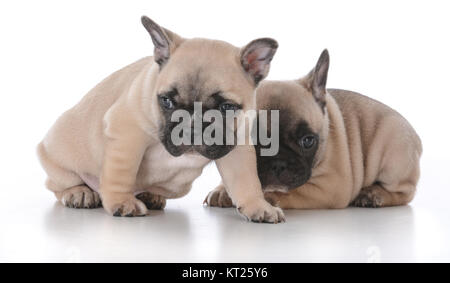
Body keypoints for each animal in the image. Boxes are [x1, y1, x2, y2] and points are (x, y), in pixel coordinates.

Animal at [38, 16, 284, 224]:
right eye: (166, 101)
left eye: (226, 107)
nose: (192, 126)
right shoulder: (127, 135)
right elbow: (121, 173)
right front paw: (121, 201)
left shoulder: (236, 147)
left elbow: (246, 181)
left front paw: (257, 206)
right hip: (58, 161)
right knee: (56, 185)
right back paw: (79, 192)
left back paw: (150, 195)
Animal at [206, 50, 424, 211]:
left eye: (307, 141)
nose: (278, 163)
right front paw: (222, 191)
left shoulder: (330, 186)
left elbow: (293, 191)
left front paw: (268, 197)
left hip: (393, 155)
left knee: (405, 192)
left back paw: (374, 194)